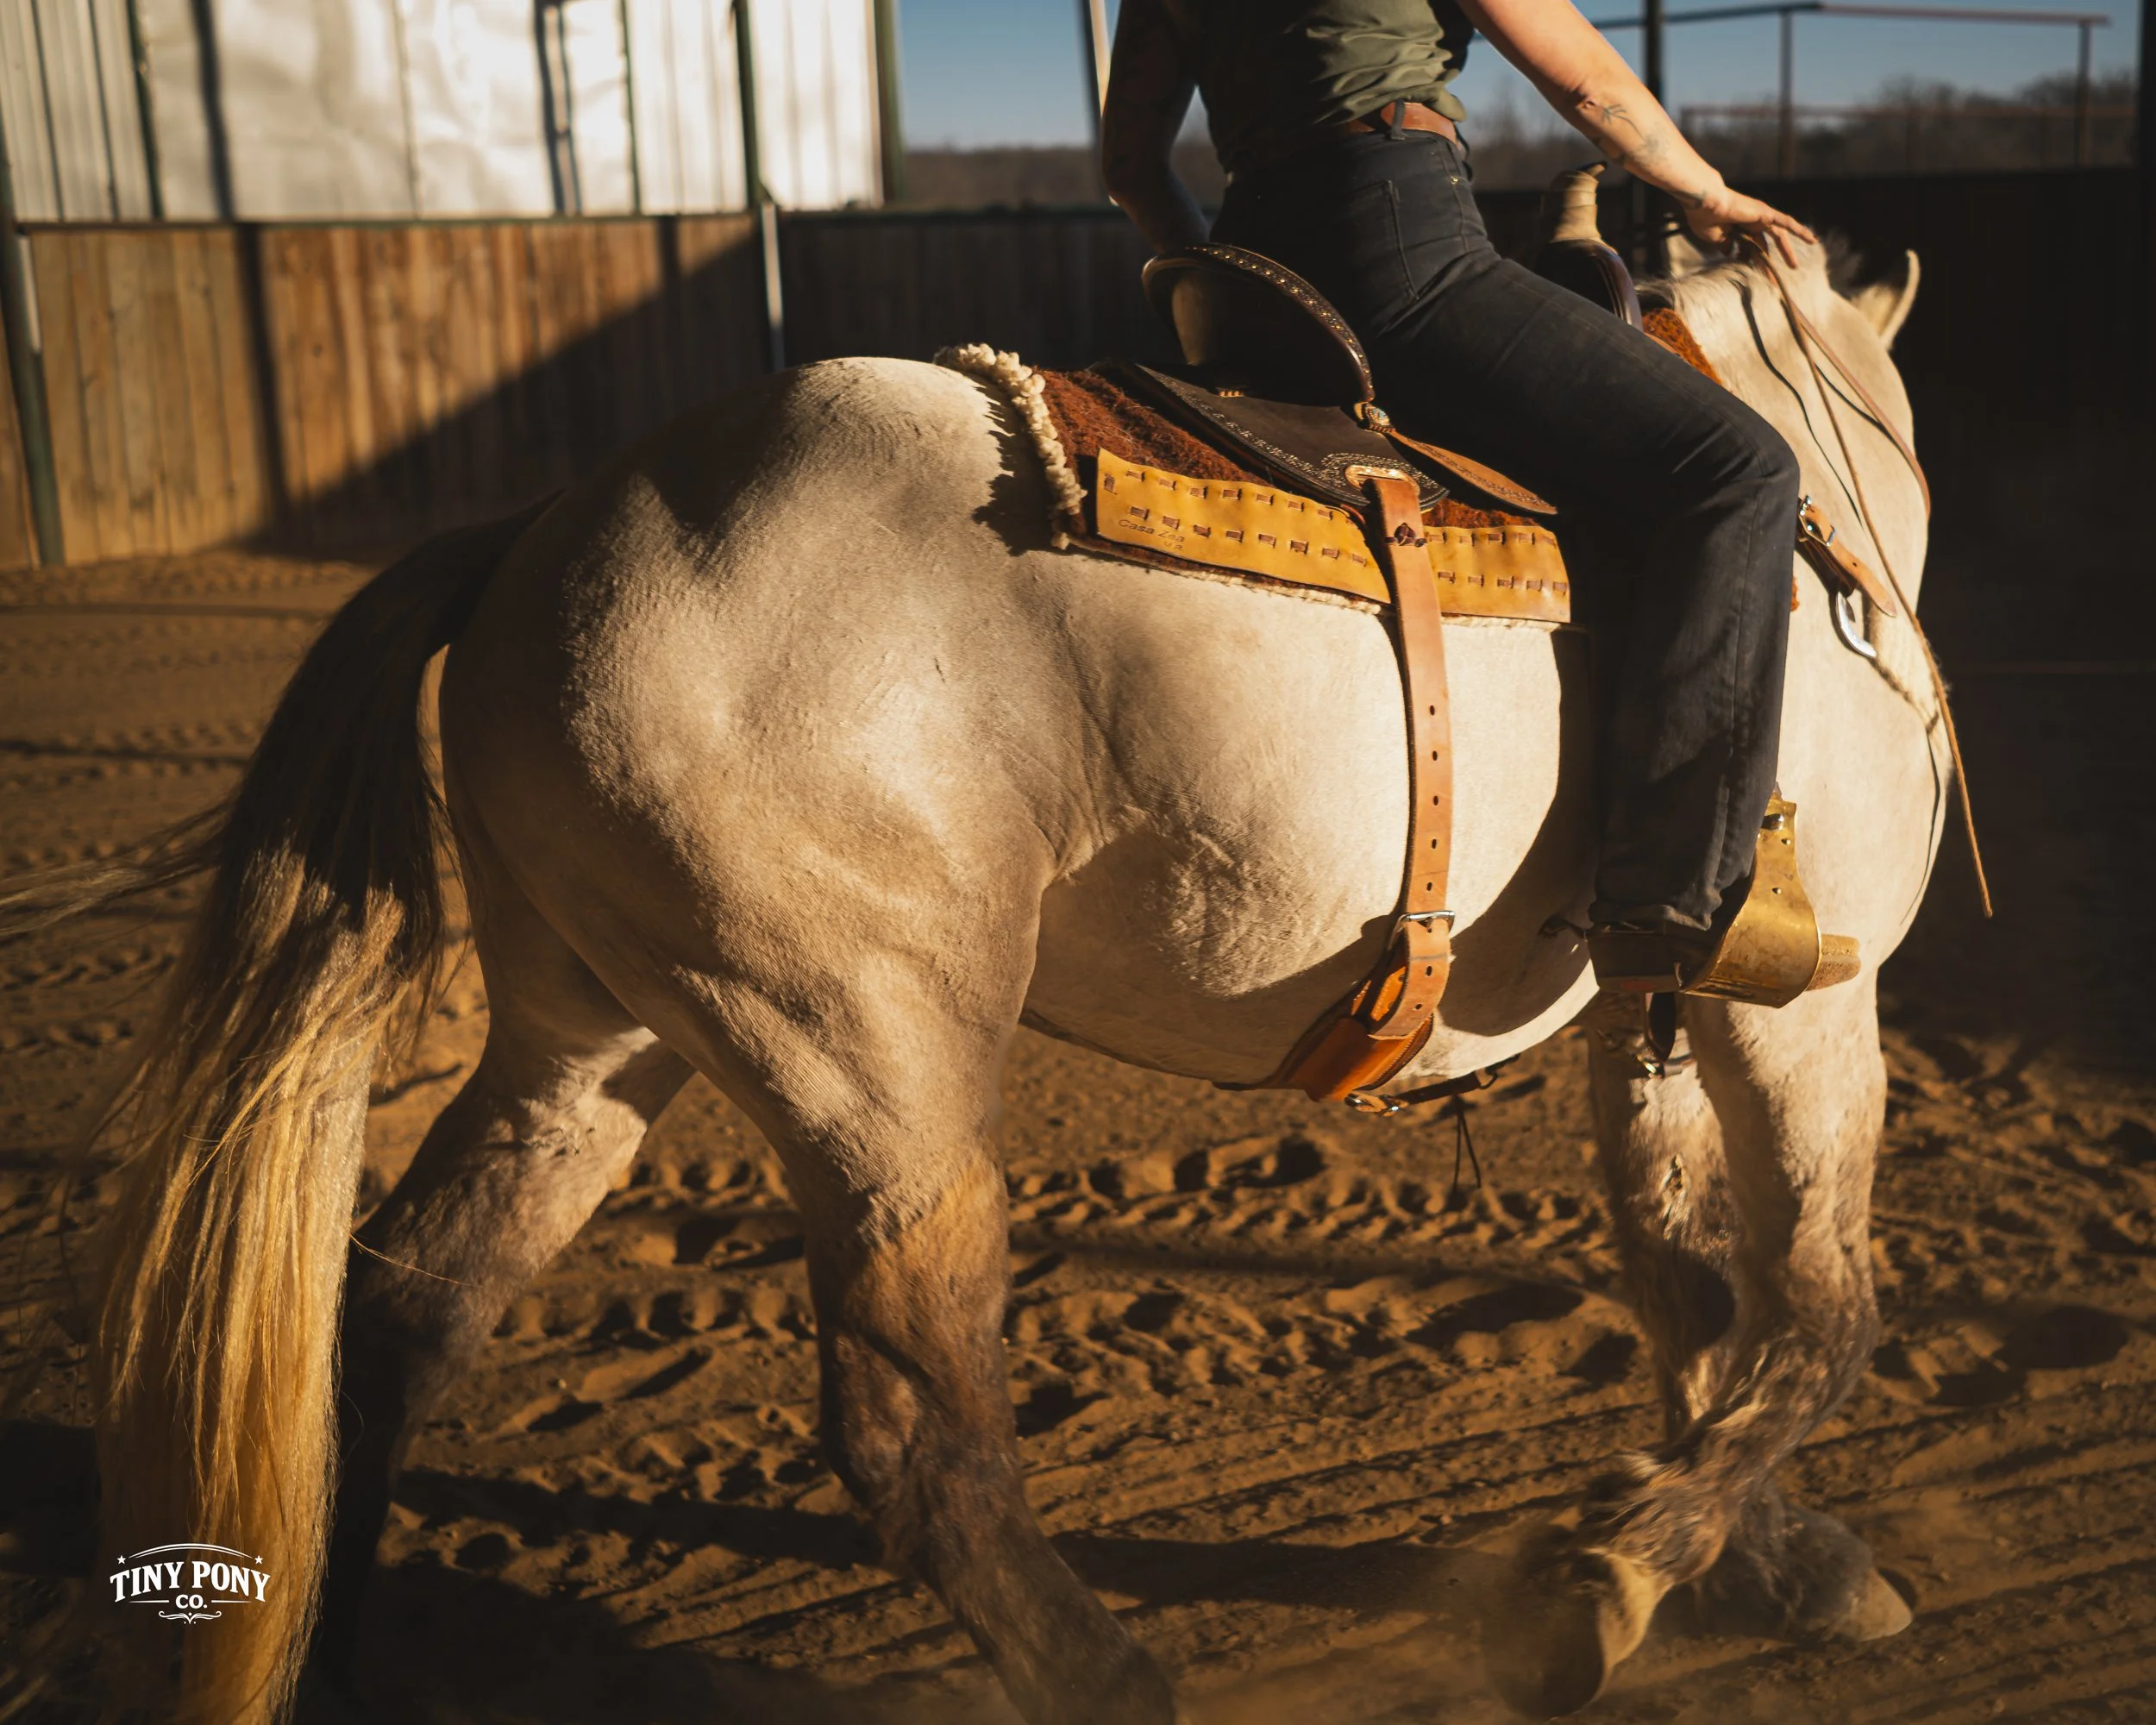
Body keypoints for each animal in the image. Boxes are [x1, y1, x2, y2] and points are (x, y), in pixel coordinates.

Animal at [52, 233, 1940, 1722]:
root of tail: (547, 526)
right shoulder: (1803, 1009)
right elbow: (1821, 1309)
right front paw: (1607, 1582)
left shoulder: (1657, 1015)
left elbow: (1695, 1290)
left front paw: (1748, 1554)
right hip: (873, 1078)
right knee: (916, 1437)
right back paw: (1107, 1678)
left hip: (584, 1046)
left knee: (396, 1320)